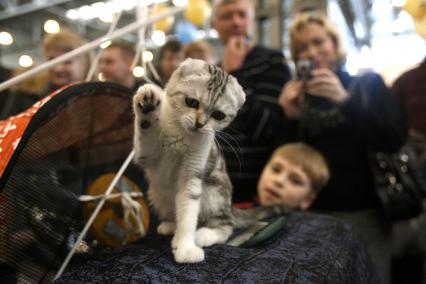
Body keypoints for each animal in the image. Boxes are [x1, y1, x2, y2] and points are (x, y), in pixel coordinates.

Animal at [132, 58, 286, 262]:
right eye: (191, 102)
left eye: (218, 115)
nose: (200, 124)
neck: (180, 134)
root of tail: (231, 207)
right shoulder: (147, 156)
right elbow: (146, 133)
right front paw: (148, 106)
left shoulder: (193, 172)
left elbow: (188, 213)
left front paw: (186, 248)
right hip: (158, 194)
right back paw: (172, 226)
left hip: (214, 192)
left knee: (227, 225)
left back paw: (202, 234)